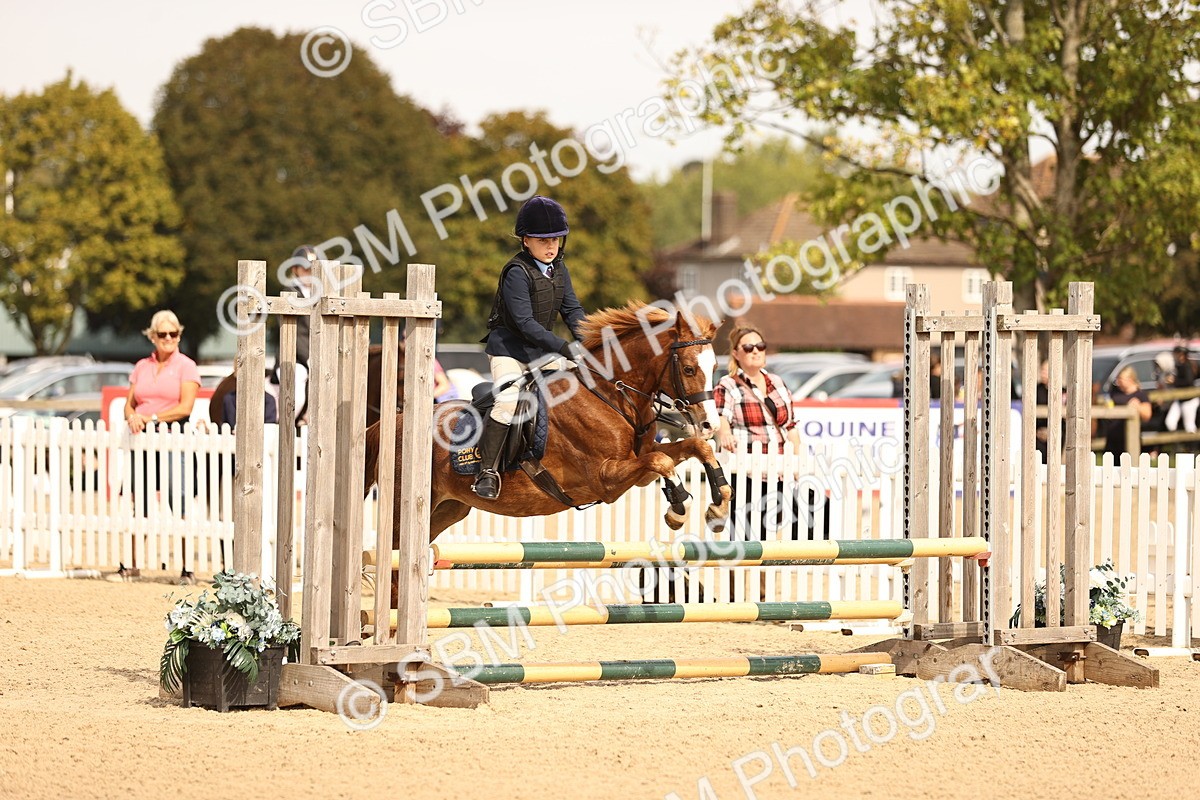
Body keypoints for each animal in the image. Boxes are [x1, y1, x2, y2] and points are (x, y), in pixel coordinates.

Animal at [364, 301, 732, 566]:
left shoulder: (636, 470)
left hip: (447, 508)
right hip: (404, 508)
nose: (711, 424)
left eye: (715, 366)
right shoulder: (606, 478)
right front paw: (677, 509)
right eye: (689, 369)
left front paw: (718, 506)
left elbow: (694, 449)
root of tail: (393, 421)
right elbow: (661, 462)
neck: (610, 394)